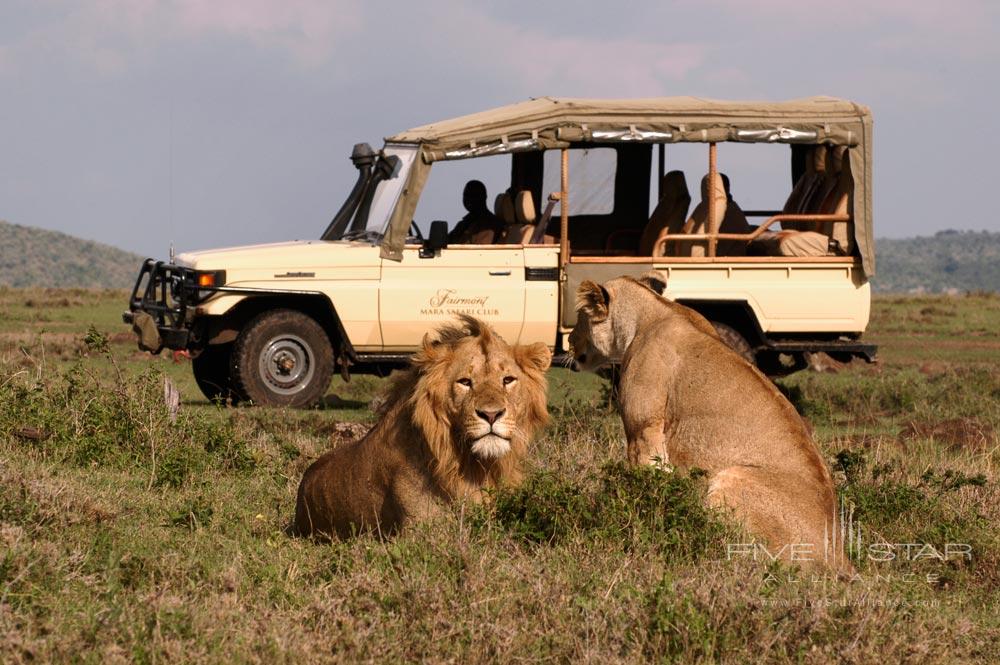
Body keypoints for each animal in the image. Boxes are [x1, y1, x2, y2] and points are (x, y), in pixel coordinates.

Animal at [572, 272, 852, 572]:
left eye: (578, 317)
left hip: (731, 479)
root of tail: (839, 556)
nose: (568, 343)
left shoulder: (643, 431)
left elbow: (645, 489)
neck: (650, 311)